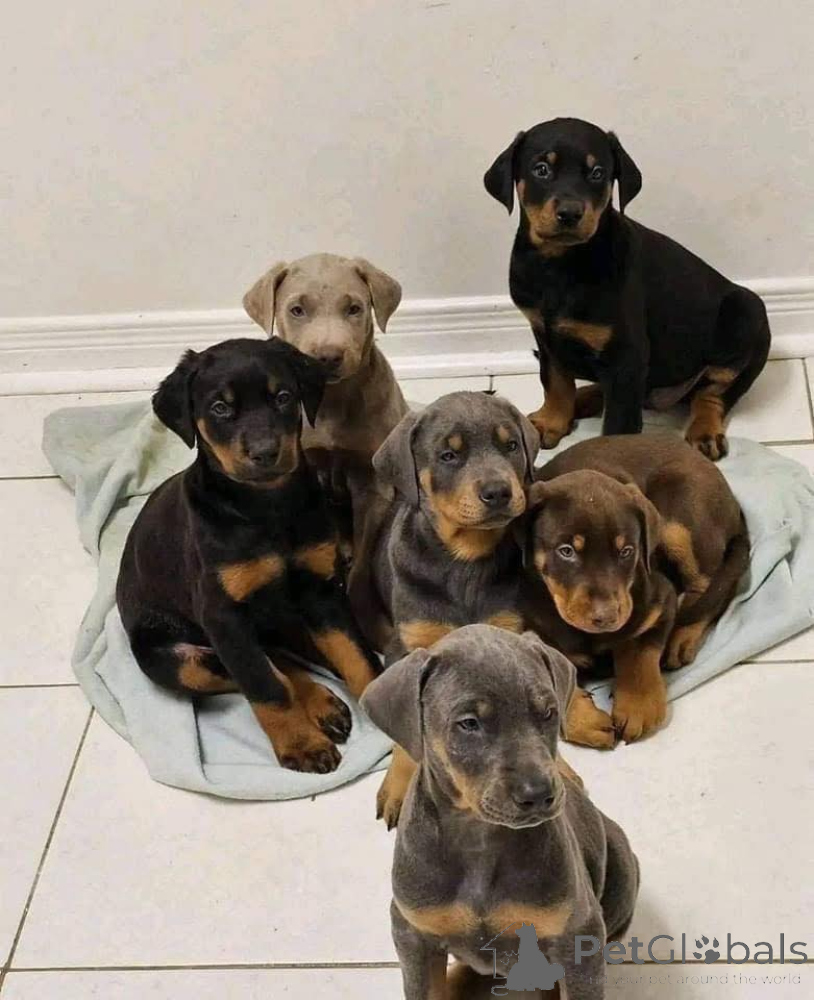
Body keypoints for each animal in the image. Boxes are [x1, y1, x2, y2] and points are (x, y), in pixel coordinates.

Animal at [116, 338, 382, 773]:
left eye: (284, 397)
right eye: (219, 408)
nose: (265, 452)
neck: (266, 509)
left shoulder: (322, 590)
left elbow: (354, 653)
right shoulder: (222, 614)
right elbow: (264, 685)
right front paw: (301, 745)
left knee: (277, 655)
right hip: (177, 661)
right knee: (255, 668)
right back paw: (318, 706)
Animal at [361, 625, 639, 999]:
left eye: (548, 712)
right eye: (469, 723)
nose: (539, 794)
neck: (479, 838)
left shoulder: (577, 934)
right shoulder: (413, 934)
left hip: (621, 865)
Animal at [368, 391, 617, 828]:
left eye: (511, 445)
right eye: (449, 455)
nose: (498, 491)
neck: (466, 556)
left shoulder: (513, 628)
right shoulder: (406, 645)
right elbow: (405, 728)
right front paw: (399, 784)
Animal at [484, 117, 770, 460]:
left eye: (597, 173)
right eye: (541, 169)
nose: (570, 213)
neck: (561, 263)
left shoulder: (627, 353)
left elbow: (619, 420)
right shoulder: (545, 334)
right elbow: (554, 381)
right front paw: (551, 422)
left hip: (747, 314)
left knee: (714, 391)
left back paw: (704, 430)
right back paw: (582, 400)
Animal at [523, 433, 749, 743]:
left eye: (627, 551)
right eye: (566, 551)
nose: (606, 617)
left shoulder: (659, 599)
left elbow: (640, 646)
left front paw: (637, 704)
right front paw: (585, 721)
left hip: (680, 520)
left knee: (713, 587)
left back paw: (681, 636)